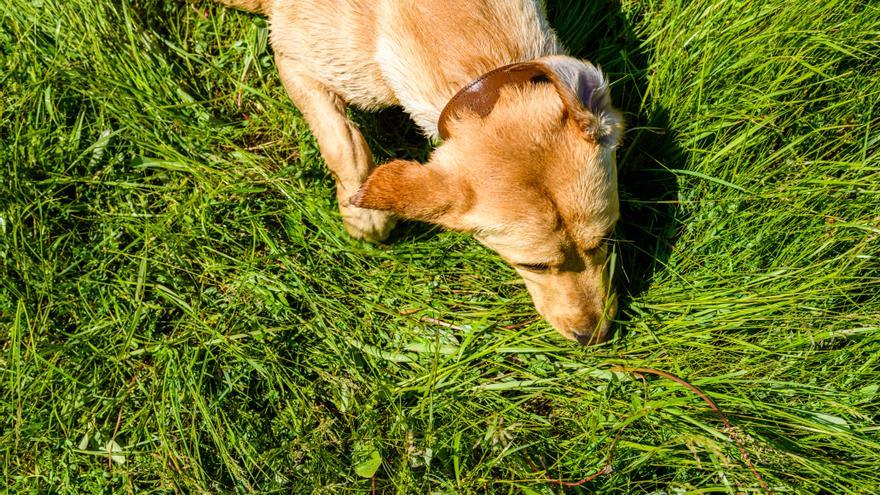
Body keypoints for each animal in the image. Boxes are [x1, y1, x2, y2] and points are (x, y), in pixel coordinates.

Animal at [216, 0, 624, 344]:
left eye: (606, 238)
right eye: (533, 265)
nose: (595, 337)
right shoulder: (291, 53)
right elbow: (344, 142)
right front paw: (362, 215)